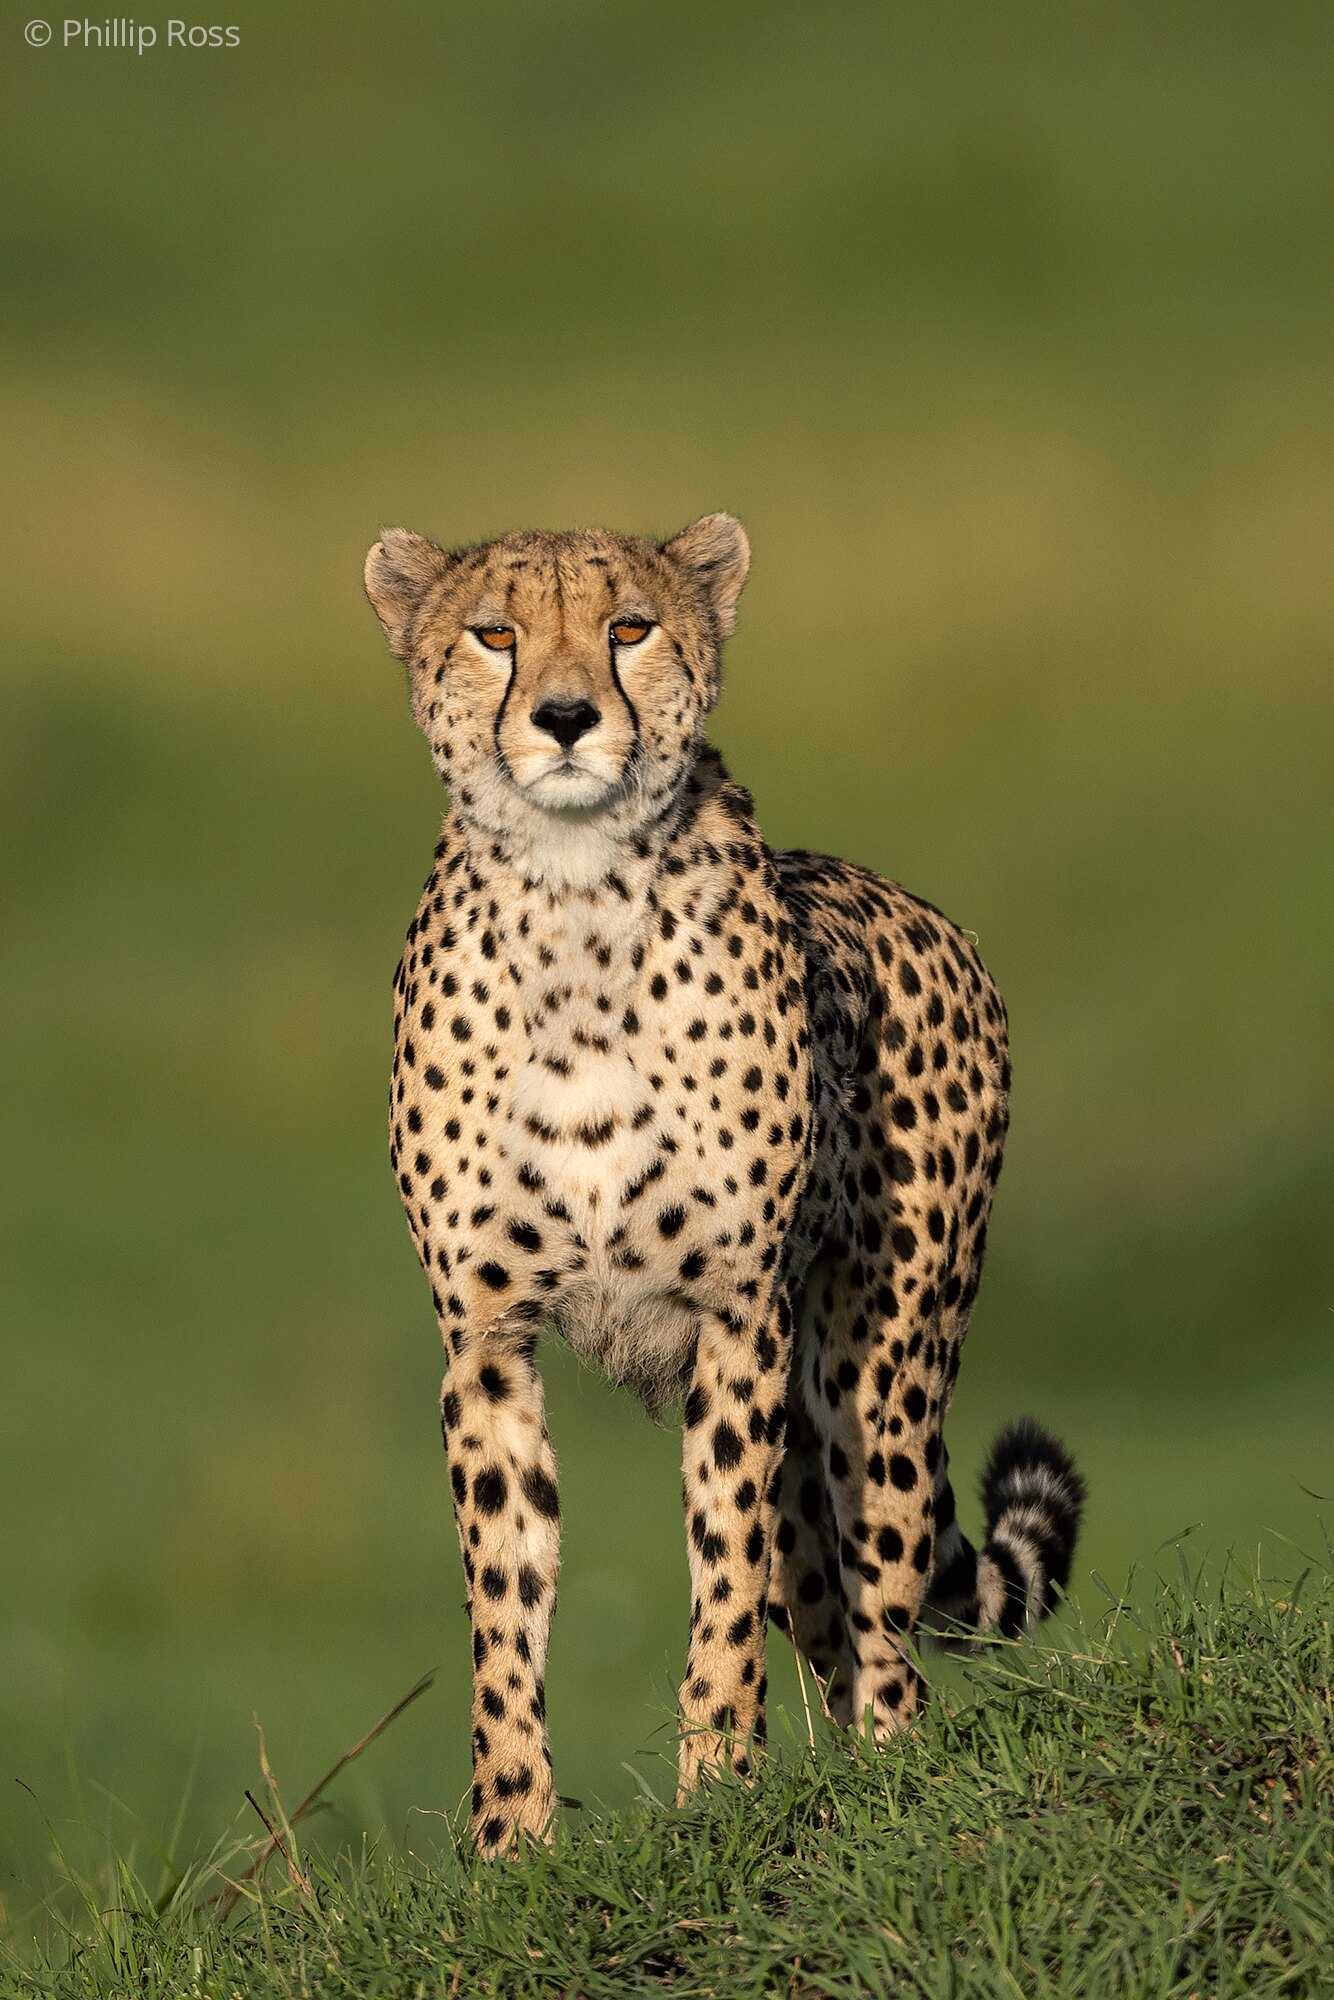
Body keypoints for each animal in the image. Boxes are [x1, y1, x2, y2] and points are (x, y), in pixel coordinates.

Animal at [364, 511, 1084, 1855]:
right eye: (493, 633)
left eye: (628, 627)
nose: (564, 717)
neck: (574, 901)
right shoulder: (487, 1338)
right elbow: (506, 1594)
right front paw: (509, 1839)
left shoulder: (735, 1319)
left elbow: (720, 1569)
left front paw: (717, 1790)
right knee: (825, 1610)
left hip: (875, 1367)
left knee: (883, 1610)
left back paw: (890, 1775)